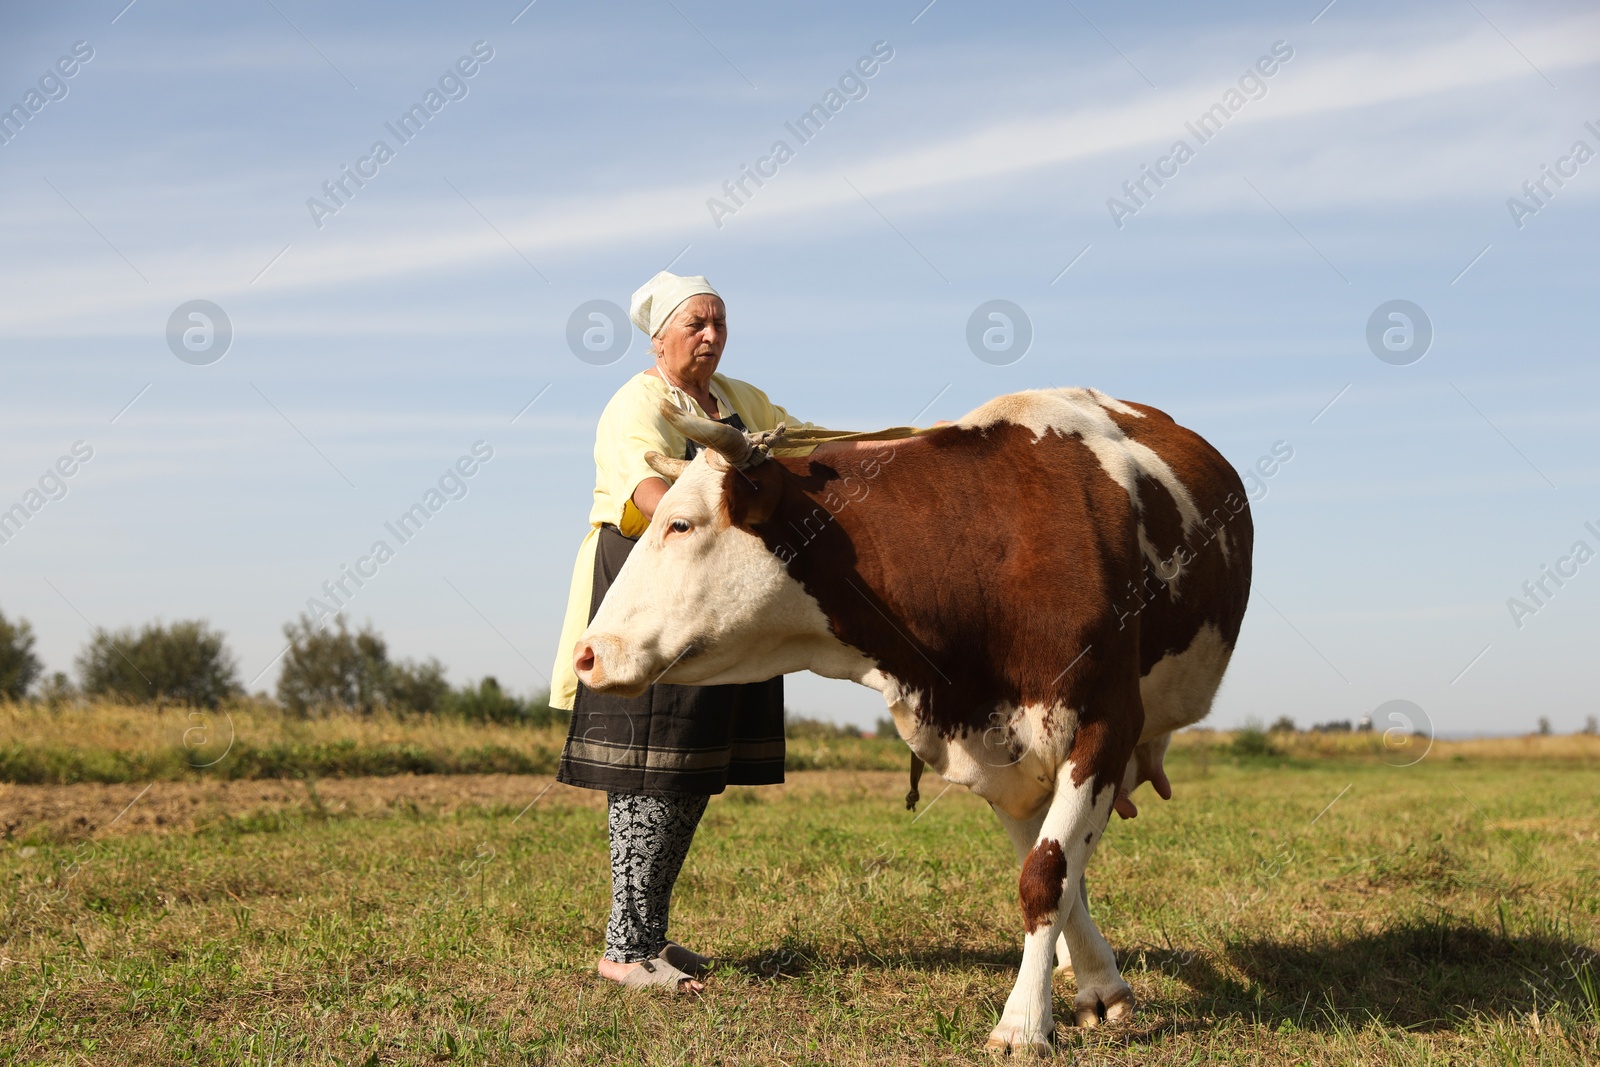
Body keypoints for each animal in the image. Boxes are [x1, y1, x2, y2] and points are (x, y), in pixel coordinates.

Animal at [576, 388, 1248, 1055]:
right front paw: (1091, 986)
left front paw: (1025, 1023)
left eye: (680, 523)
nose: (588, 654)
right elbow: (1049, 873)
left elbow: (1048, 874)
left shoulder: (1104, 724)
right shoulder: (998, 750)